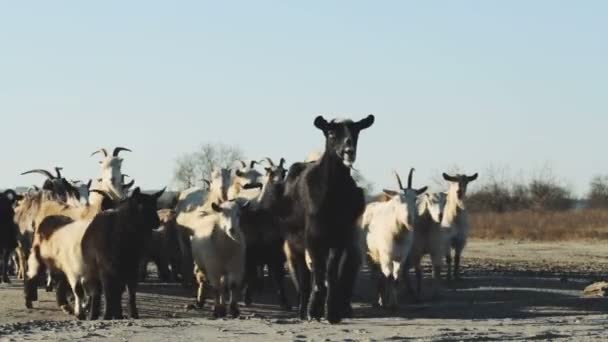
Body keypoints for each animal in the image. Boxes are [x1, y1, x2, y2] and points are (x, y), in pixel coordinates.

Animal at [282, 115, 376, 324]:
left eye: (356, 132)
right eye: (331, 133)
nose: (348, 151)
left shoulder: (338, 238)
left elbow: (331, 274)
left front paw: (331, 312)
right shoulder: (313, 238)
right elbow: (318, 273)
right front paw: (314, 310)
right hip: (295, 245)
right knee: (303, 278)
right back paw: (303, 311)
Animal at [360, 169, 428, 310]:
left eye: (415, 198)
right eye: (398, 200)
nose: (409, 220)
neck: (397, 234)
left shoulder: (400, 258)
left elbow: (396, 279)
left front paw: (394, 303)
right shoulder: (387, 257)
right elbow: (389, 278)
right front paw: (389, 304)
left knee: (381, 276)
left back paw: (382, 299)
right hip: (370, 255)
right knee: (376, 276)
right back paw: (378, 301)